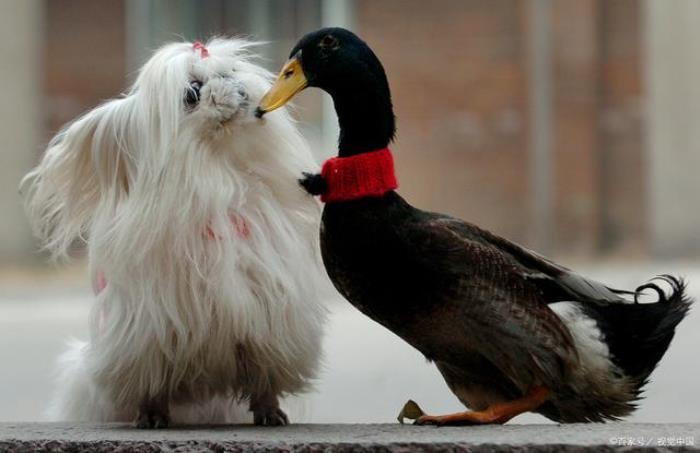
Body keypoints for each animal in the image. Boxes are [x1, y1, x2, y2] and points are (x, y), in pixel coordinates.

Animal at [21, 38, 326, 427]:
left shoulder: (270, 319)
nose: (235, 86)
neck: (217, 168)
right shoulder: (149, 333)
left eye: (230, 71)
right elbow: (152, 382)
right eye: (192, 93)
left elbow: (264, 375)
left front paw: (269, 410)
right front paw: (151, 414)